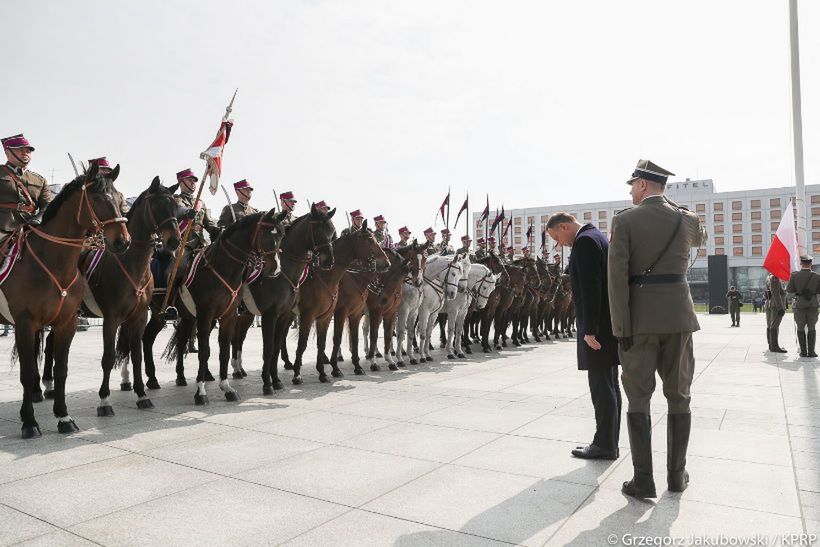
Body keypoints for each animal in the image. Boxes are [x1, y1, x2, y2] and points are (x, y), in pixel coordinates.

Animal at [0, 165, 130, 438]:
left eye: (118, 197)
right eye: (98, 198)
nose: (123, 241)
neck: (53, 262)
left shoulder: (66, 323)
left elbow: (61, 371)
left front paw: (63, 416)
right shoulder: (24, 323)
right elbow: (27, 372)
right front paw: (29, 422)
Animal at [40, 176, 180, 416]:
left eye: (175, 206)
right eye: (158, 205)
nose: (174, 242)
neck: (131, 263)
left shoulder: (138, 317)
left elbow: (136, 355)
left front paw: (141, 395)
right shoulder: (112, 318)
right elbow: (108, 358)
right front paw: (104, 401)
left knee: (50, 343)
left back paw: (49, 387)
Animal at [160, 208, 286, 404]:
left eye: (281, 235)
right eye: (266, 233)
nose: (275, 269)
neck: (223, 268)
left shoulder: (229, 316)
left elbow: (224, 350)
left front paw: (226, 387)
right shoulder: (204, 315)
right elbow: (204, 352)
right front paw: (201, 392)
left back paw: (204, 375)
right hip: (182, 316)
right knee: (179, 342)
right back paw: (178, 378)